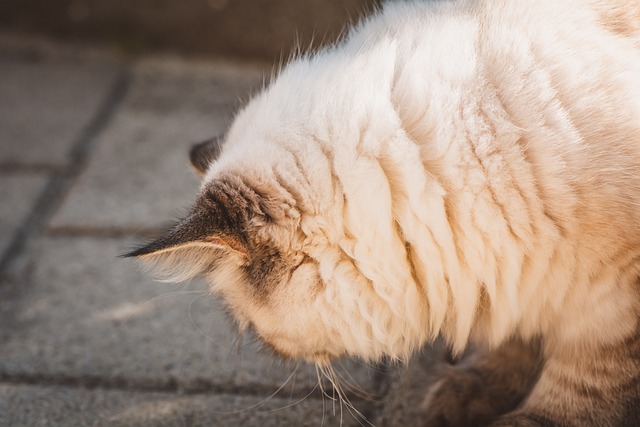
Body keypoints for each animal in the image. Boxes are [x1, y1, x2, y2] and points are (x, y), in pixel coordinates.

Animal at [127, 1, 640, 426]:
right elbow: (517, 338)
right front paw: (465, 393)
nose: (267, 351)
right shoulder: (523, 270)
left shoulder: (616, 295)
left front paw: (528, 419)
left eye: (251, 325)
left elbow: (583, 382)